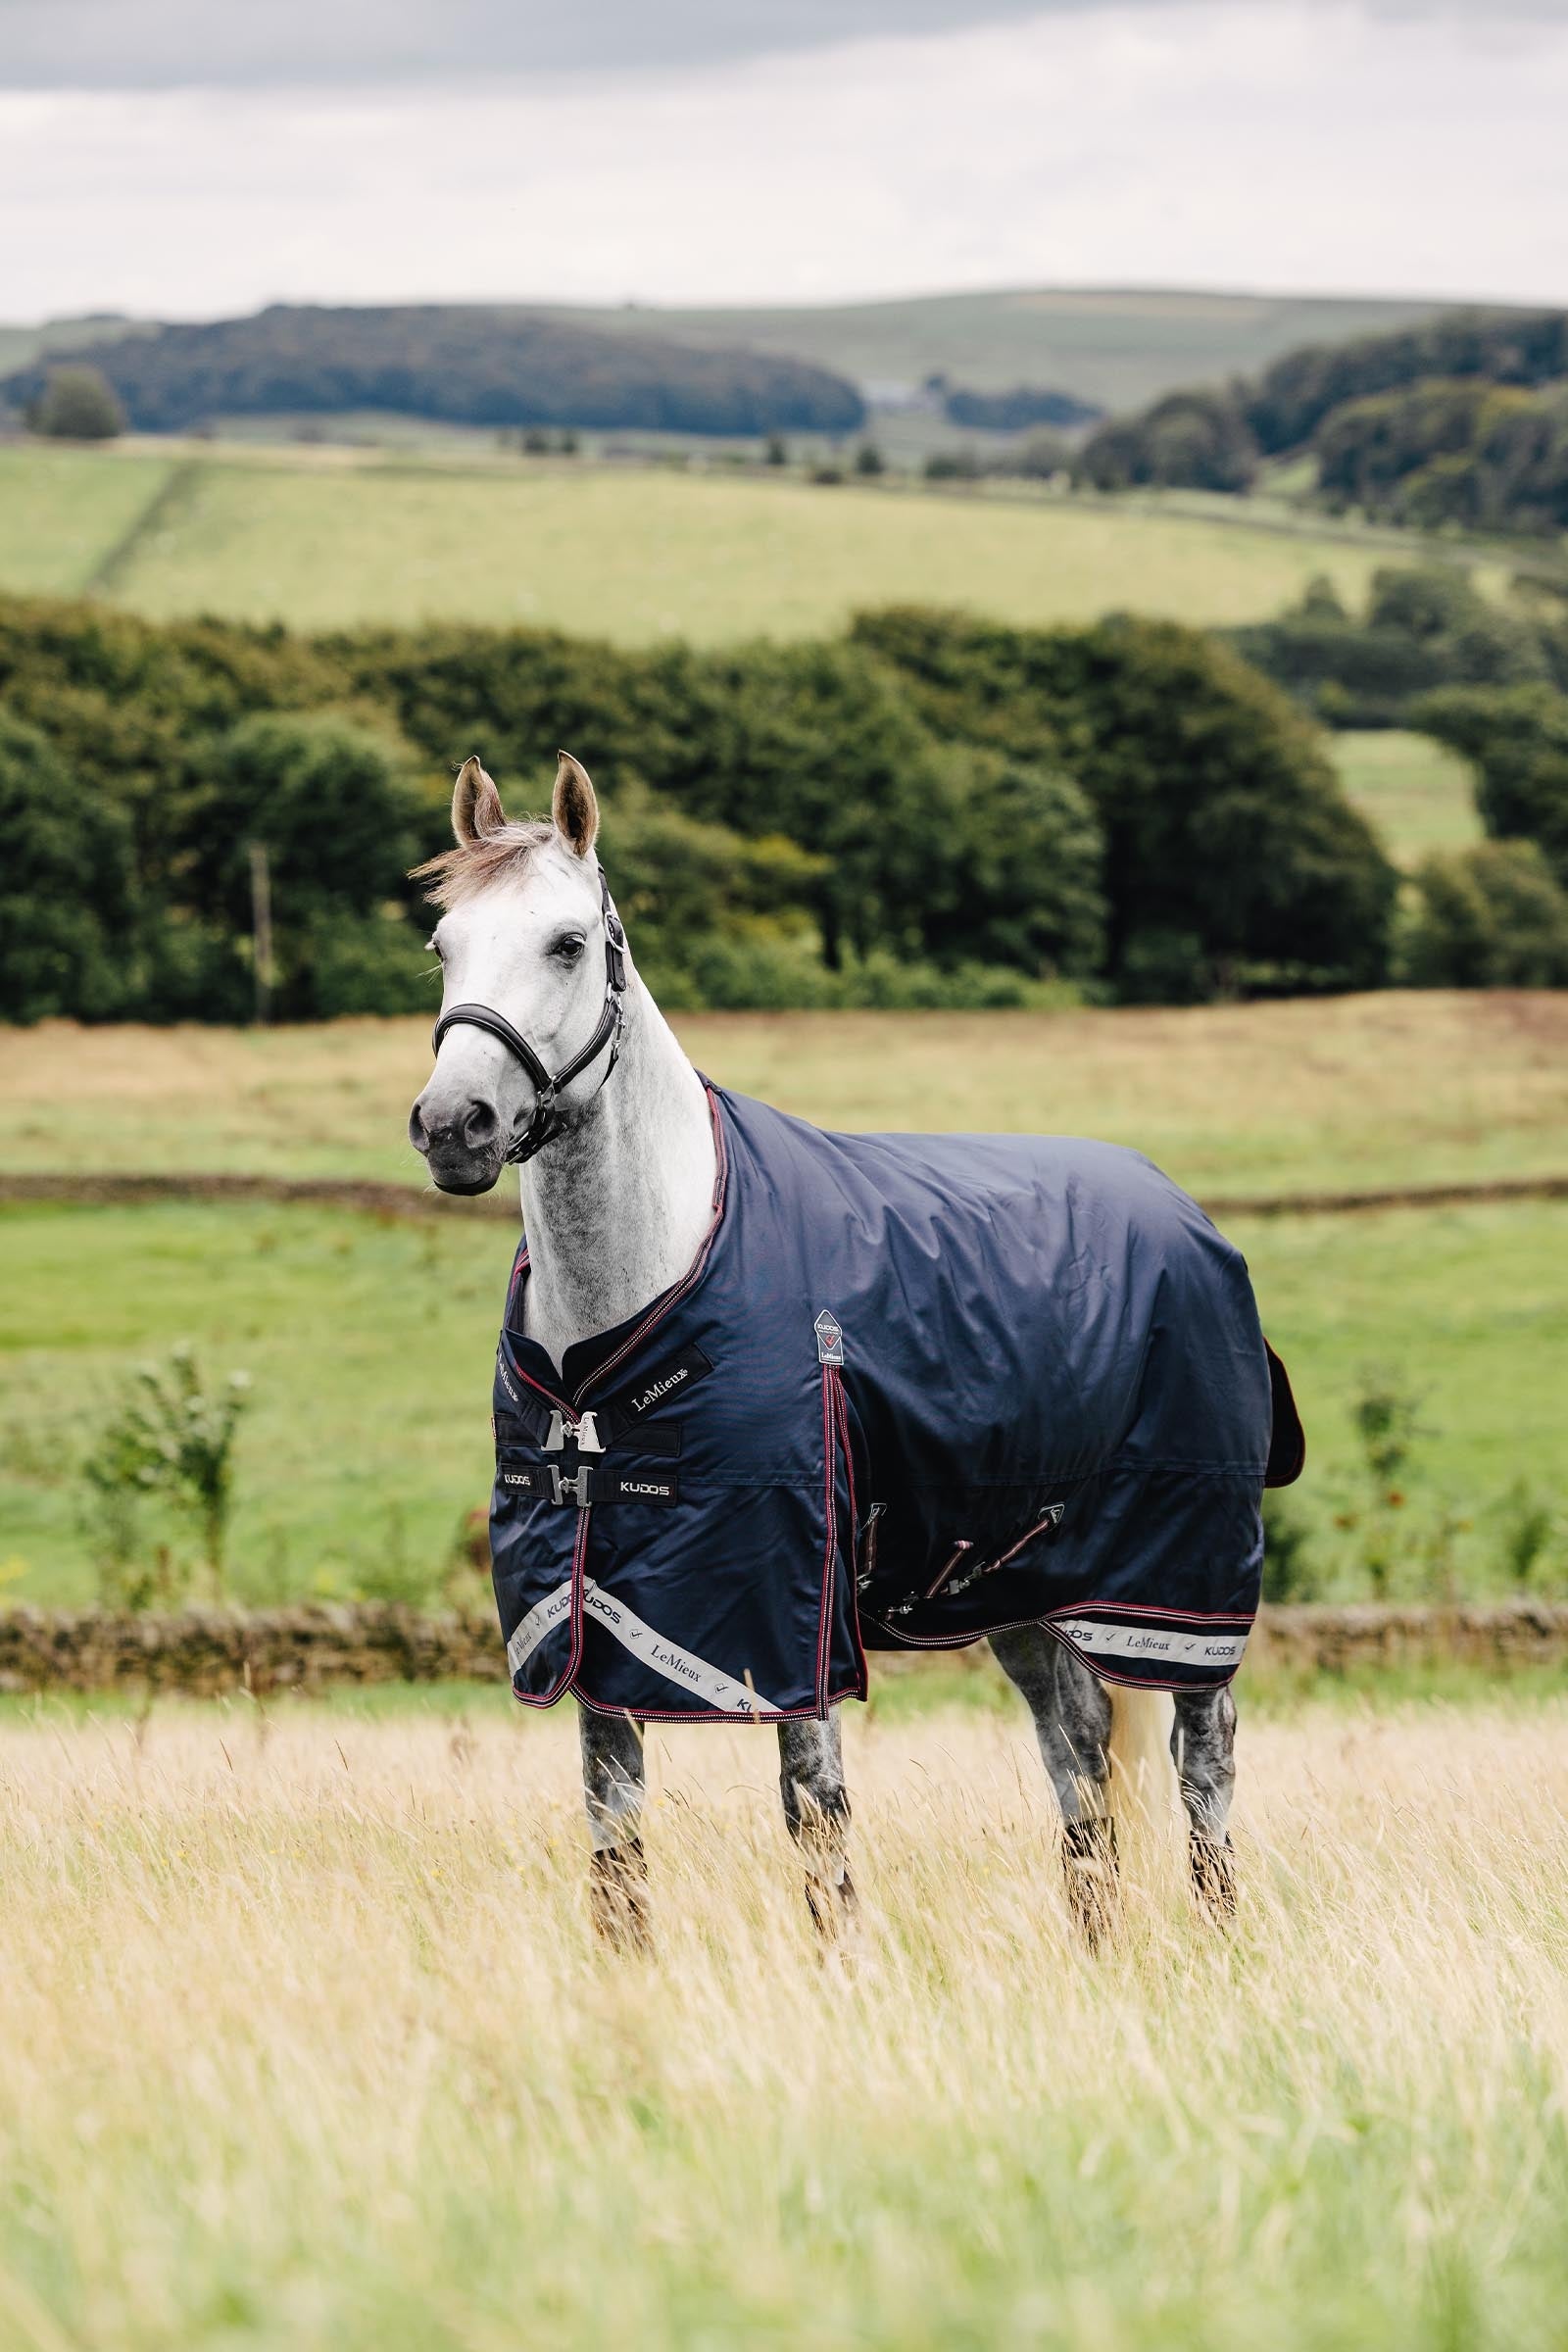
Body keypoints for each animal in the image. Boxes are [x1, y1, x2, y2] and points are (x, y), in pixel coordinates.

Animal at [408, 751, 1299, 1948]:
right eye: (443, 945)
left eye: (567, 943)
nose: (452, 1125)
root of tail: (1188, 1216)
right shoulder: (593, 1611)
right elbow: (613, 1822)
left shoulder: (792, 1608)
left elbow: (814, 1812)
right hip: (1023, 1592)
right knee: (1078, 1764)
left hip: (1178, 1588)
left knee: (1204, 1764)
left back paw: (1216, 1940)